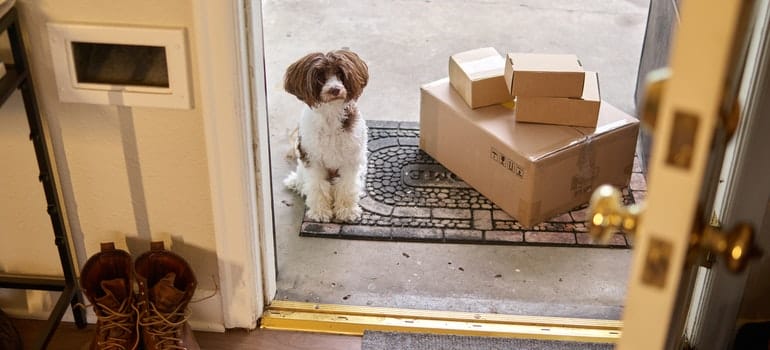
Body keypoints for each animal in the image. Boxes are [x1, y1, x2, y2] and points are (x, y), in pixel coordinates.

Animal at [282, 49, 368, 221]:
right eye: (320, 76)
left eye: (340, 73)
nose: (335, 89)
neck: (331, 115)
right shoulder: (312, 160)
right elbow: (317, 186)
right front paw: (320, 211)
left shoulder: (351, 160)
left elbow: (347, 186)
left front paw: (347, 210)